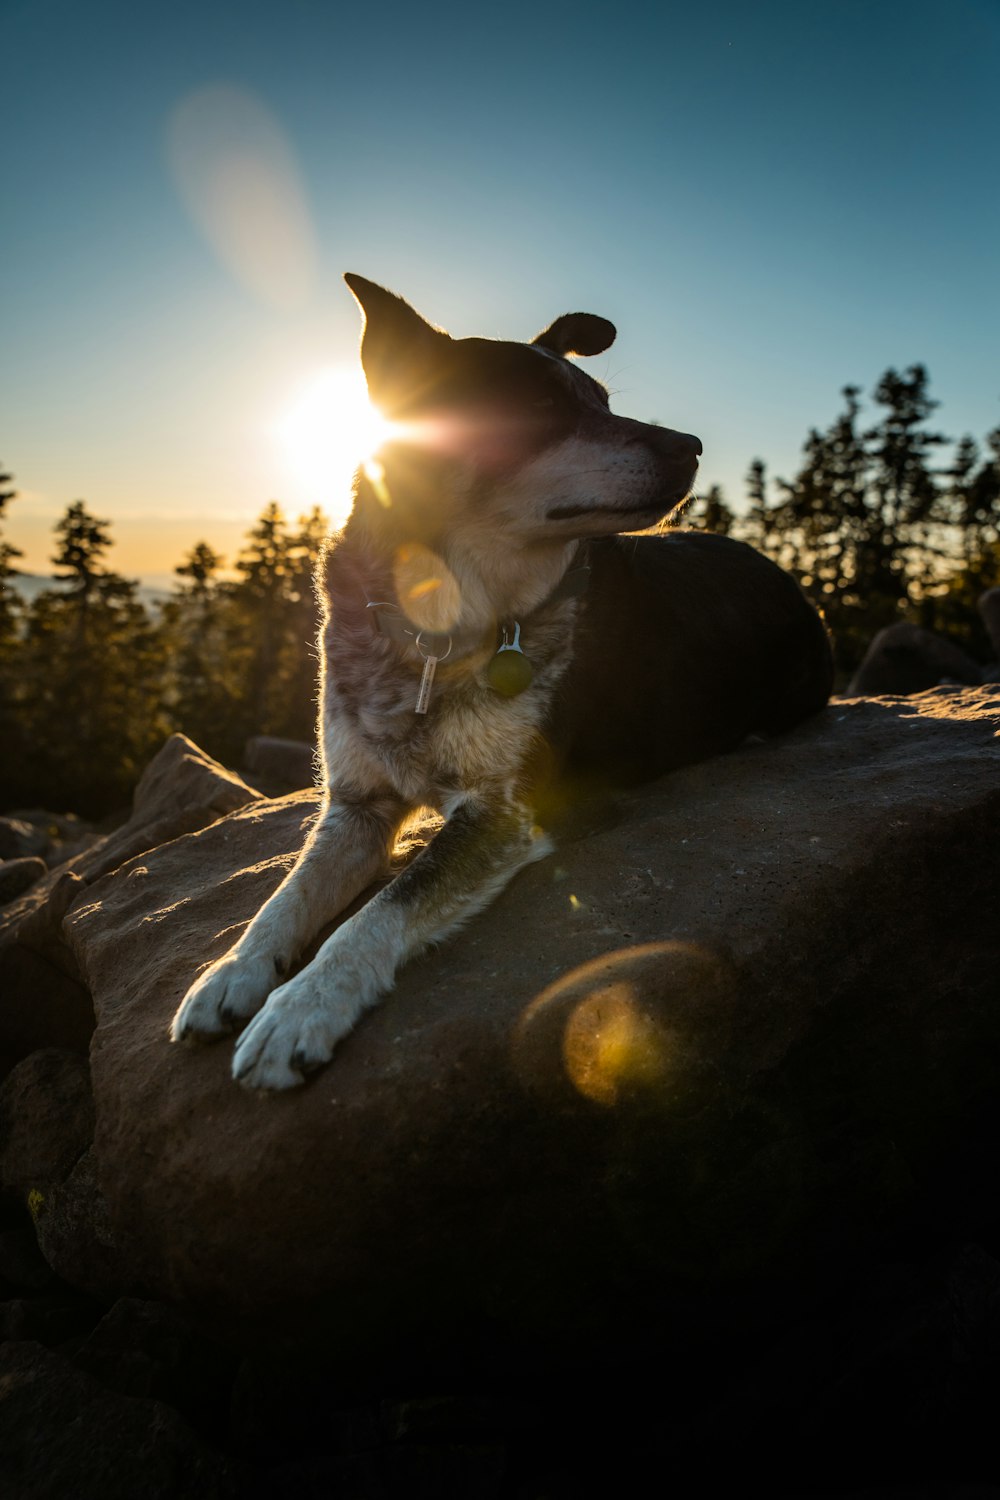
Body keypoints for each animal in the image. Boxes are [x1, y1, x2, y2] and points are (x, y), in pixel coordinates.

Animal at [172, 273, 839, 1092]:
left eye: (604, 401)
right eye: (545, 408)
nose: (691, 446)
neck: (441, 628)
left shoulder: (507, 810)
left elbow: (381, 908)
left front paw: (299, 1009)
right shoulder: (355, 805)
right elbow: (286, 897)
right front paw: (230, 974)